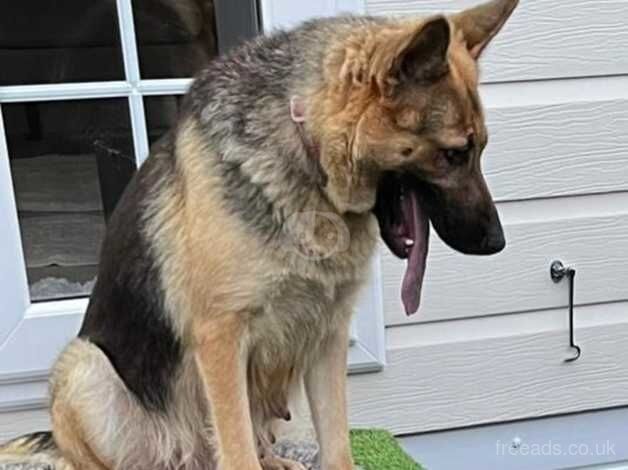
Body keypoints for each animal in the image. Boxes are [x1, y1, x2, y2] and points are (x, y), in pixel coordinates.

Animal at [1, 1, 516, 468]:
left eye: (480, 149)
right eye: (453, 155)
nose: (496, 243)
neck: (307, 153)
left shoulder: (328, 338)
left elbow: (337, 445)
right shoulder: (221, 339)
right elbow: (238, 451)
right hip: (85, 370)